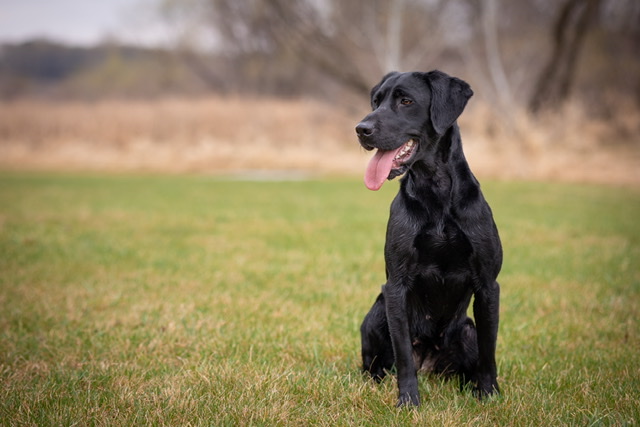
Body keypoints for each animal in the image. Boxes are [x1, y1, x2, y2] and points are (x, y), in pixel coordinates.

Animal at [356, 70, 500, 408]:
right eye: (377, 101)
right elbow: (404, 356)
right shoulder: (396, 287)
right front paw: (408, 401)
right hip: (375, 316)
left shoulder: (489, 286)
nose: (361, 129)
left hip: (467, 330)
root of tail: (430, 363)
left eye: (406, 101)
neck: (435, 190)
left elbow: (489, 352)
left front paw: (489, 394)